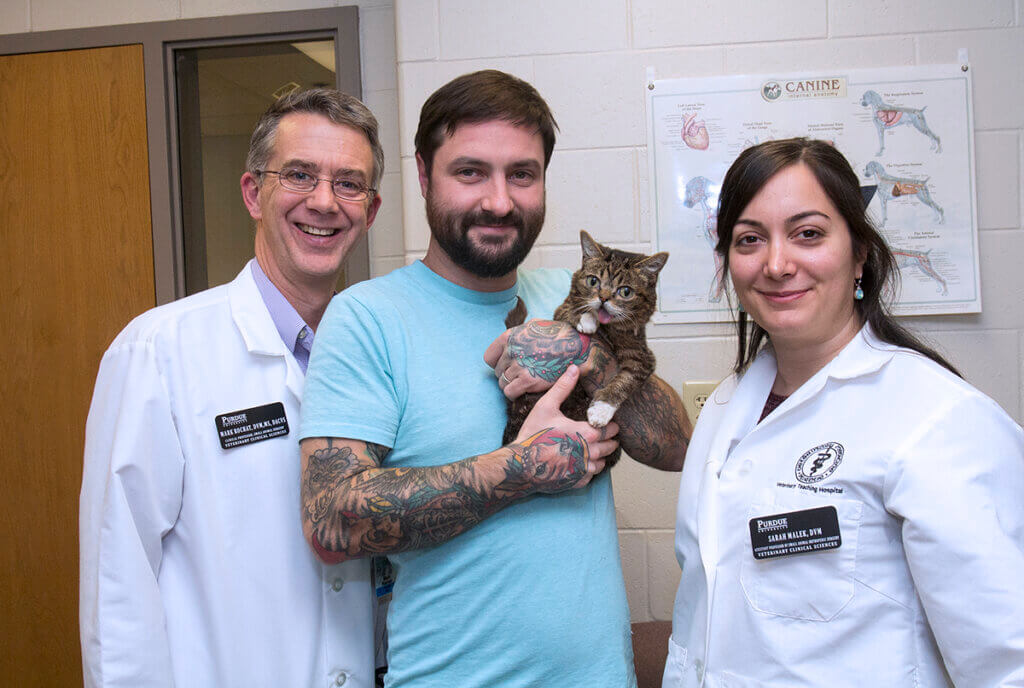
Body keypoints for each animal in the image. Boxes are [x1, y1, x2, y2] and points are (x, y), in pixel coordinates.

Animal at [501, 232, 663, 466]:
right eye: (593, 281)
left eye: (625, 291)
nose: (603, 298)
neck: (606, 328)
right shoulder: (561, 312)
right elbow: (570, 310)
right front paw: (586, 320)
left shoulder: (642, 357)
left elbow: (625, 381)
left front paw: (602, 410)